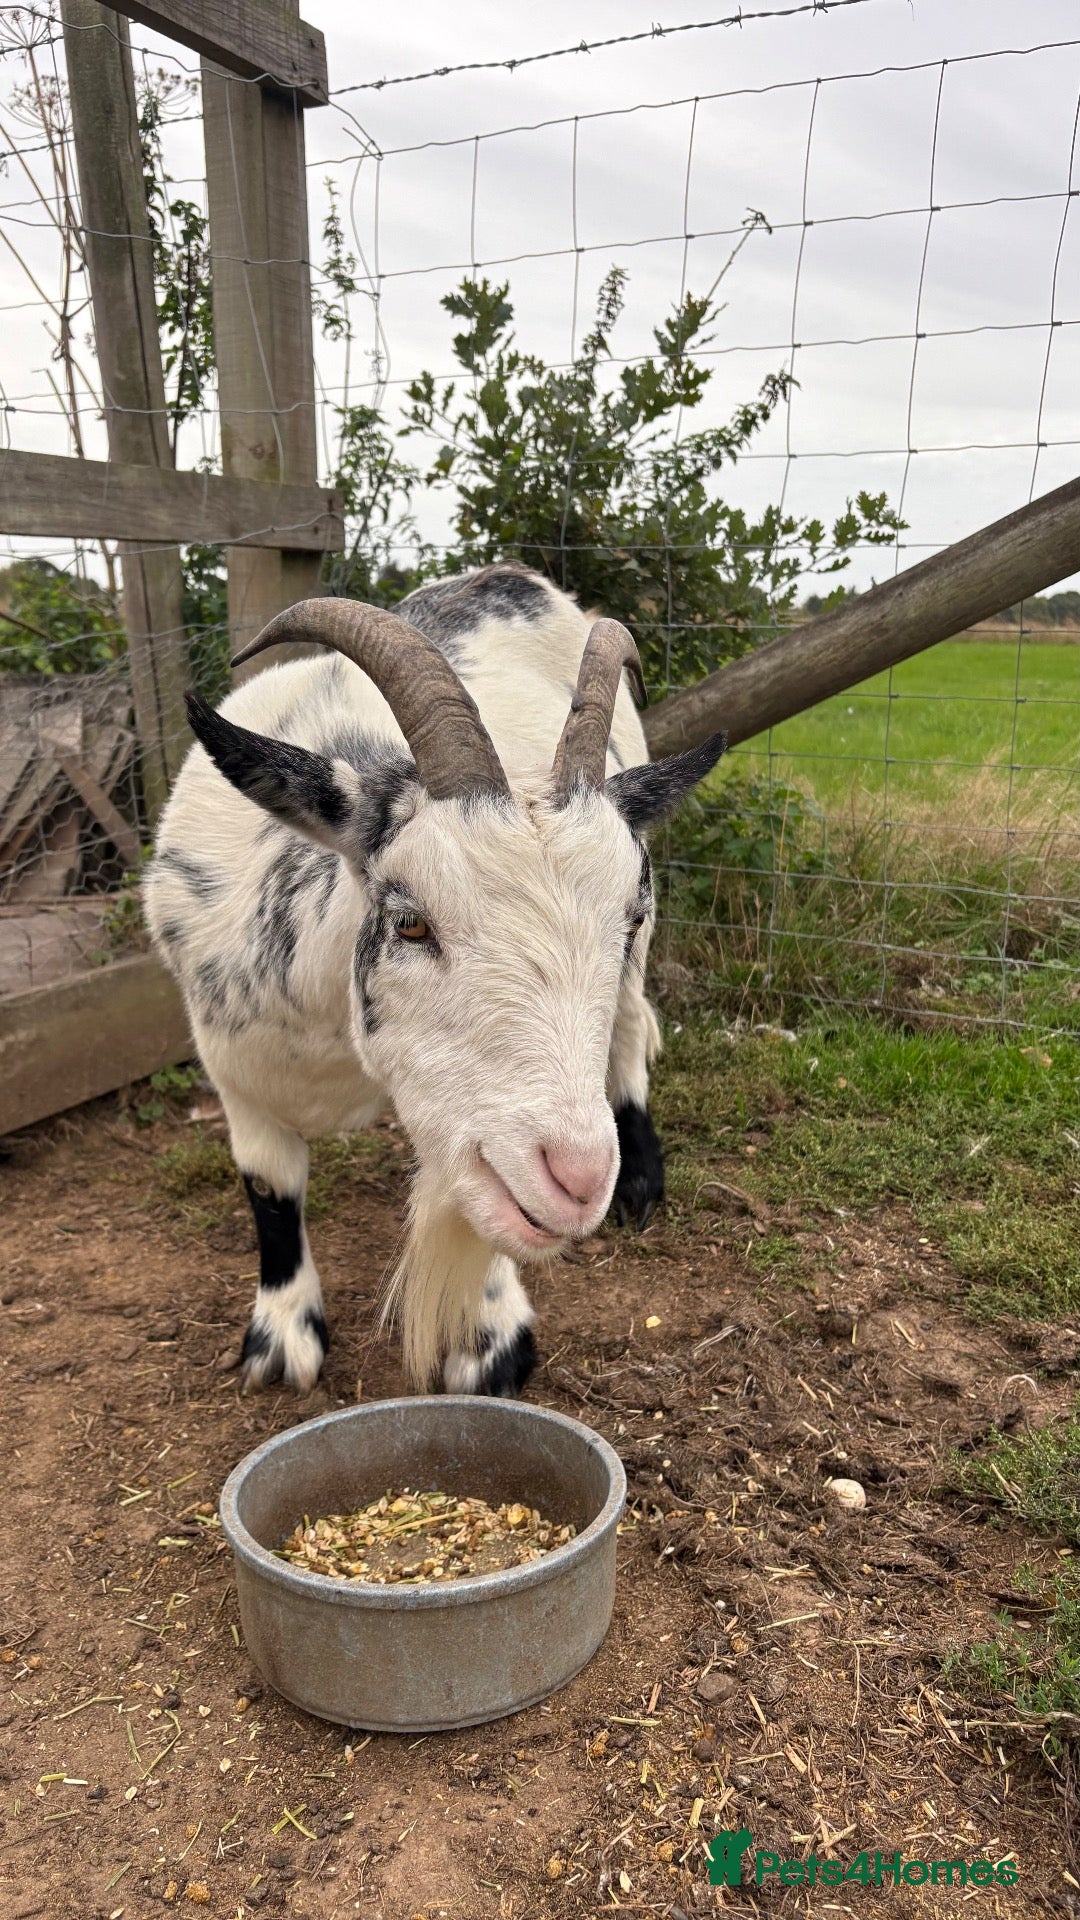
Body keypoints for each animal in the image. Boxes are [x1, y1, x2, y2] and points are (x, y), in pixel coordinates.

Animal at [145, 565, 725, 1395]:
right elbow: (270, 1184)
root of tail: (508, 575)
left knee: (626, 1027)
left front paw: (491, 1344)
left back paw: (641, 1181)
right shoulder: (232, 1065)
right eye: (410, 922)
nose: (579, 1179)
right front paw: (281, 1338)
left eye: (630, 914)